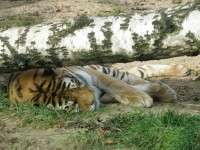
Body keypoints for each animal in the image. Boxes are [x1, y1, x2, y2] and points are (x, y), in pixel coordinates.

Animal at [7, 63, 190, 112]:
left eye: (75, 85)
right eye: (71, 104)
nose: (92, 102)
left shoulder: (92, 74)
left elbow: (117, 84)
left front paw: (141, 97)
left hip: (102, 68)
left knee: (137, 73)